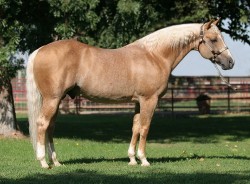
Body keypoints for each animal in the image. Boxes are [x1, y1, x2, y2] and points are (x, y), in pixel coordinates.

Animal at [26, 18, 234, 168]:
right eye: (213, 39)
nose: (230, 62)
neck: (155, 55)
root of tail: (39, 51)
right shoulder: (149, 100)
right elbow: (145, 128)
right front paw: (144, 160)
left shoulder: (137, 102)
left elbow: (135, 127)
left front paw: (132, 159)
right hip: (52, 99)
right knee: (42, 124)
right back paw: (43, 162)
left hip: (56, 100)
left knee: (50, 127)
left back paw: (56, 162)